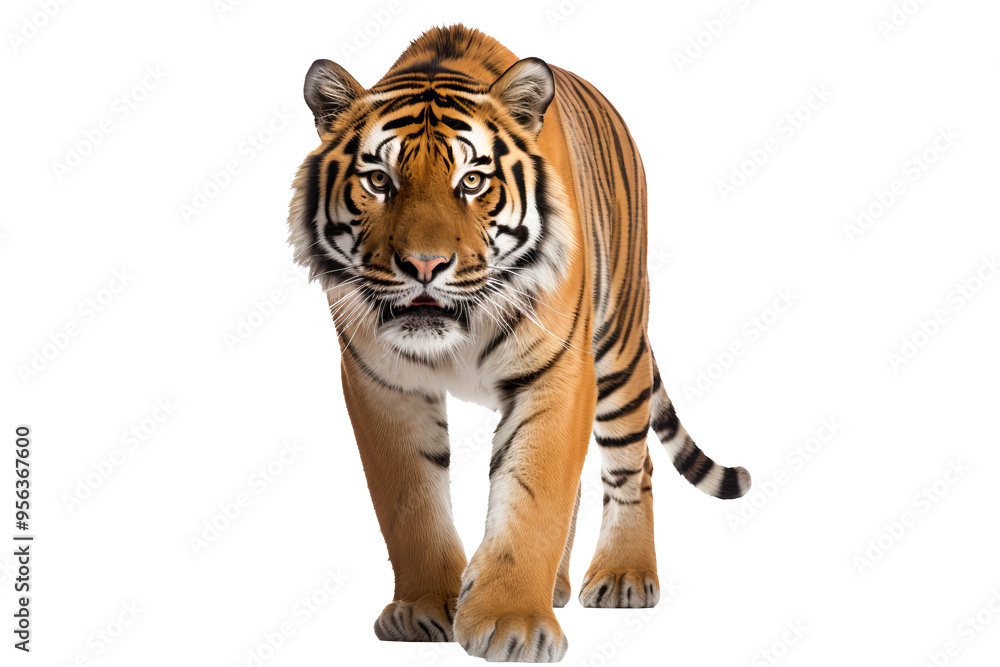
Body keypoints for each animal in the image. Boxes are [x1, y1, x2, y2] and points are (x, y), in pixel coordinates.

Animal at [286, 24, 750, 663]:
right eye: (379, 181)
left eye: (472, 181)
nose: (424, 265)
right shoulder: (381, 381)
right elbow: (409, 499)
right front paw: (425, 609)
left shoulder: (558, 371)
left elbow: (534, 493)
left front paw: (513, 624)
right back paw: (555, 585)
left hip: (619, 349)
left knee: (634, 464)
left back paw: (624, 577)